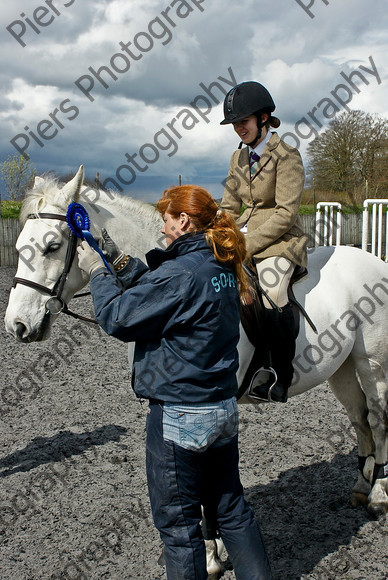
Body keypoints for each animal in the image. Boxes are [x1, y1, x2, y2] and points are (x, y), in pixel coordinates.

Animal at [4, 169, 388, 532]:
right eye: (20, 245)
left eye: (53, 246)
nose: (16, 325)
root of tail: (372, 259)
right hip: (341, 368)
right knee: (359, 419)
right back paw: (359, 487)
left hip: (372, 364)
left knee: (377, 419)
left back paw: (378, 497)